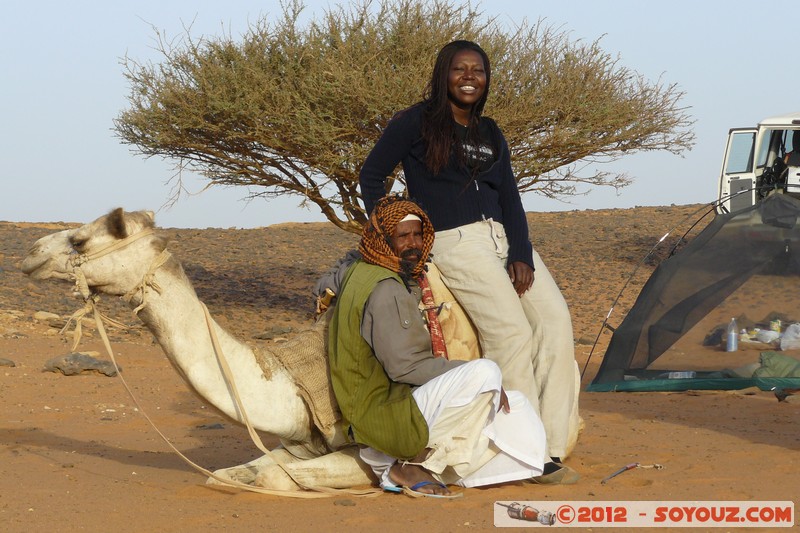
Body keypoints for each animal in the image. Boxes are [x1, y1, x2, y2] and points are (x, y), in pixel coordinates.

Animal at [21, 207, 580, 490]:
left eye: (80, 241)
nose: (30, 253)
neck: (296, 377)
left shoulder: (360, 449)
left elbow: (285, 477)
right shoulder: (299, 440)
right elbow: (234, 474)